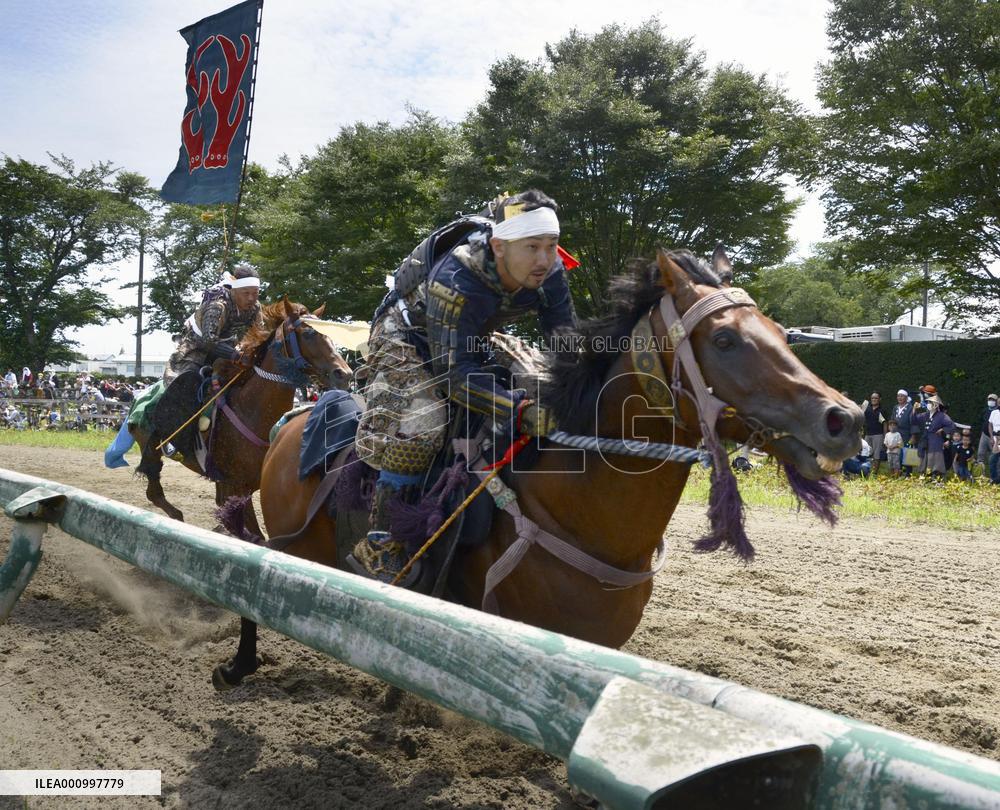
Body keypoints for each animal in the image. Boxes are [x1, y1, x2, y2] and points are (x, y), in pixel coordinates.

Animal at [130, 298, 353, 538]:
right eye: (308, 333)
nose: (344, 374)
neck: (252, 413)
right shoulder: (237, 486)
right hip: (150, 448)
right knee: (154, 489)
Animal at [211, 248, 863, 688]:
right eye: (725, 340)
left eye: (779, 331)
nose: (846, 417)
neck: (584, 520)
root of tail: (296, 418)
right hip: (294, 543)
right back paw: (239, 665)